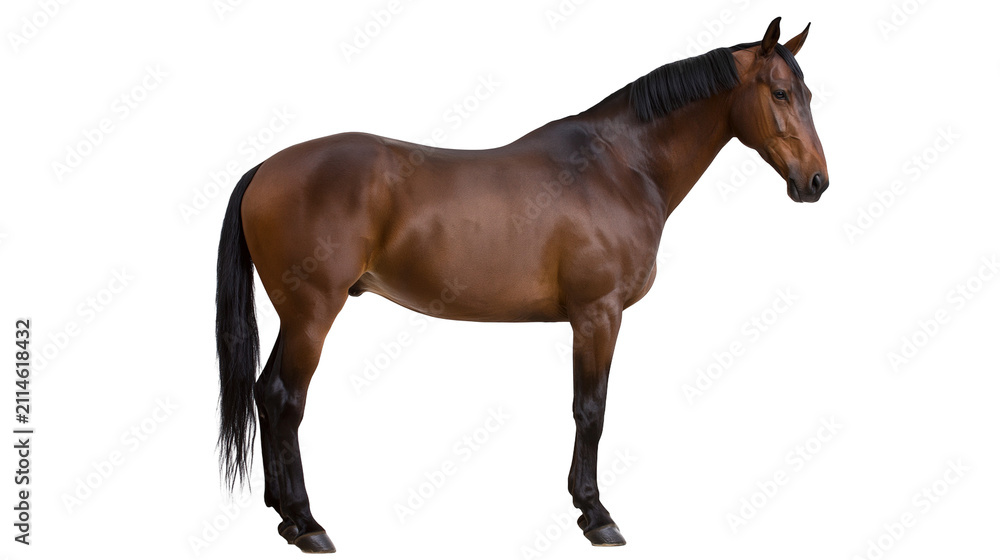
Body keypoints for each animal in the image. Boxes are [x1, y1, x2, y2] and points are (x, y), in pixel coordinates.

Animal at [216, 17, 828, 553]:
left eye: (809, 94)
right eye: (779, 93)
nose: (816, 182)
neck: (621, 166)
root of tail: (266, 167)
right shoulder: (597, 314)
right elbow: (591, 409)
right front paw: (596, 515)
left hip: (297, 316)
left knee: (266, 395)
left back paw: (284, 516)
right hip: (312, 314)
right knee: (284, 398)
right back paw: (307, 523)